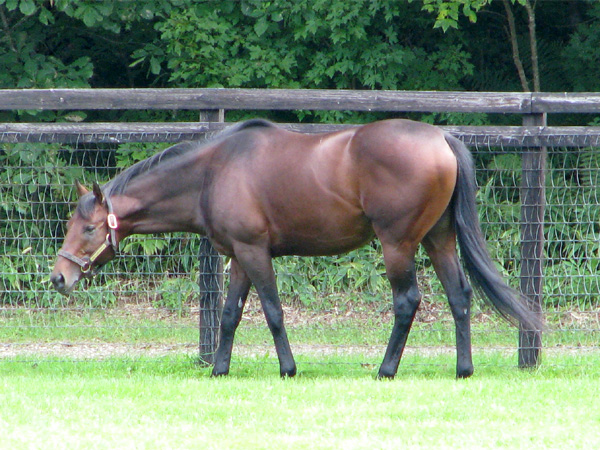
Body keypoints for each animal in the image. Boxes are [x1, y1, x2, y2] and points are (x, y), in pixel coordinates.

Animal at [49, 118, 540, 378]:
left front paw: (287, 368)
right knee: (460, 297)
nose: (59, 277)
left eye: (89, 228)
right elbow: (229, 314)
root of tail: (441, 138)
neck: (214, 172)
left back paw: (386, 369)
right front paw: (220, 369)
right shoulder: (239, 257)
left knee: (407, 302)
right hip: (439, 239)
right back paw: (463, 369)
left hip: (397, 245)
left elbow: (272, 311)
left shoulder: (254, 253)